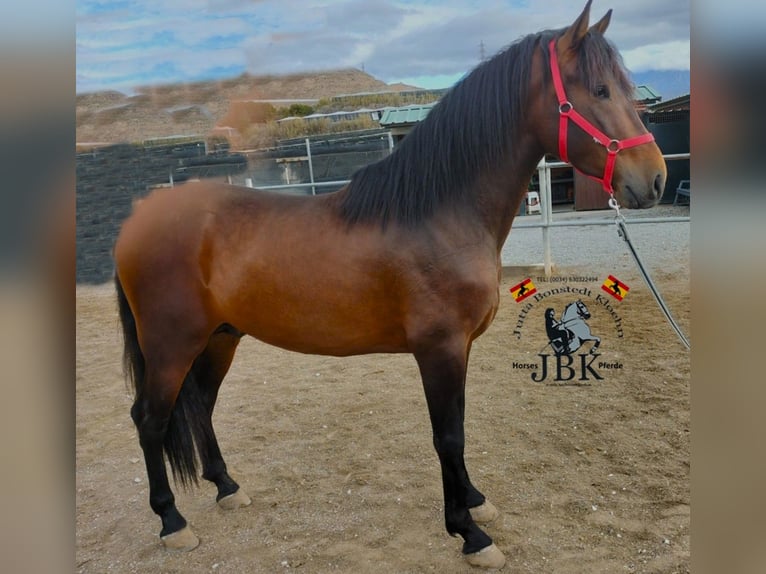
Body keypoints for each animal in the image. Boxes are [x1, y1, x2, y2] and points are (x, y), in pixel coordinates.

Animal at [112, 3, 664, 572]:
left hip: (221, 337)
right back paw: (172, 522)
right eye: (600, 90)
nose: (655, 179)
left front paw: (474, 501)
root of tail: (139, 220)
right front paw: (468, 532)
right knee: (149, 419)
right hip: (172, 344)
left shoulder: (459, 348)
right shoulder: (438, 349)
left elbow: (459, 426)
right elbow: (448, 436)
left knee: (200, 405)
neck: (437, 215)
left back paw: (226, 487)